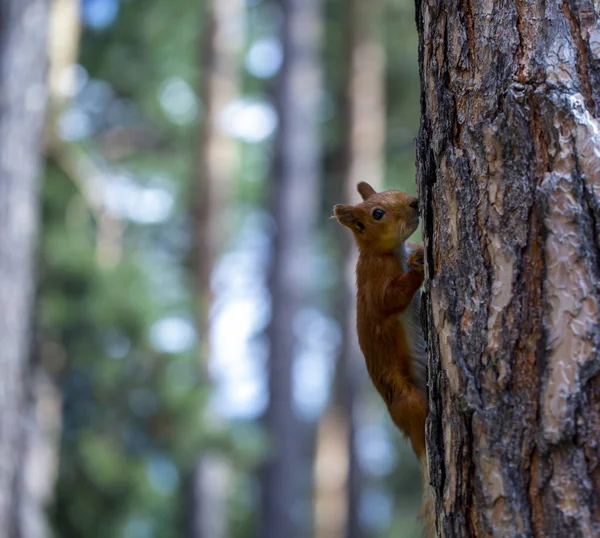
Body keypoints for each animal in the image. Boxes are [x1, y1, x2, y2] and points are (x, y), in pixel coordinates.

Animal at [332, 181, 432, 532]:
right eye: (377, 213)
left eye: (394, 190)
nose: (415, 202)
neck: (386, 252)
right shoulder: (374, 283)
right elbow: (392, 298)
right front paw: (419, 267)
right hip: (406, 399)